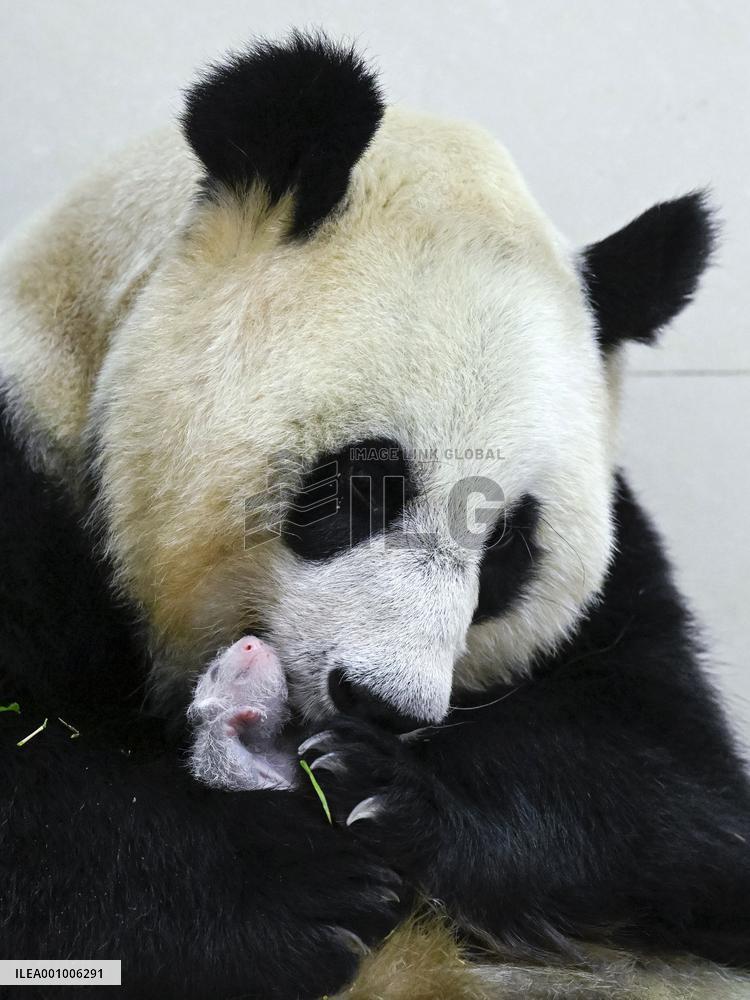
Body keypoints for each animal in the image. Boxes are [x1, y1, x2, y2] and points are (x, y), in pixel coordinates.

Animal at [1, 28, 749, 1000]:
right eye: (359, 488)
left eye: (507, 546)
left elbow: (677, 786)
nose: (382, 704)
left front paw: (379, 789)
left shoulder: (624, 586)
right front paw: (291, 887)